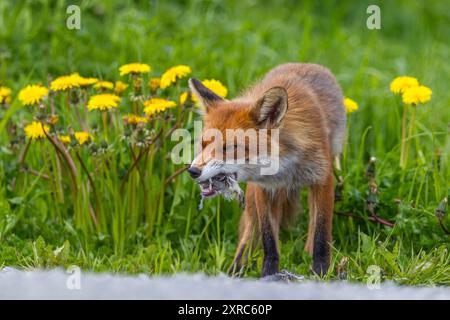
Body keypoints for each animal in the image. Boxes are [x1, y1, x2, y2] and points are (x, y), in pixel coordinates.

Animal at [188, 63, 346, 276]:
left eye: (229, 147)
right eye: (203, 144)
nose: (193, 171)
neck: (286, 167)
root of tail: (307, 64)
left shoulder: (323, 179)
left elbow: (321, 233)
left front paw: (320, 271)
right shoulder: (263, 188)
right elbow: (269, 239)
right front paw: (269, 274)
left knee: (313, 223)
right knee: (250, 234)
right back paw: (235, 270)